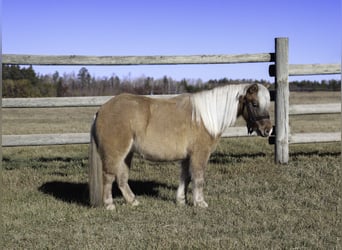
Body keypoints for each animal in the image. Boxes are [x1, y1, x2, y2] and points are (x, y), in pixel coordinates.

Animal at [88, 82, 272, 209]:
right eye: (254, 104)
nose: (268, 130)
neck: (206, 118)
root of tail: (101, 110)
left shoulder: (187, 157)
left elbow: (186, 177)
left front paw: (181, 200)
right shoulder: (200, 154)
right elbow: (198, 178)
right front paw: (200, 203)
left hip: (127, 154)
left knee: (122, 178)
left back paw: (133, 201)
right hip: (115, 153)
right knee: (109, 176)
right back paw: (109, 205)